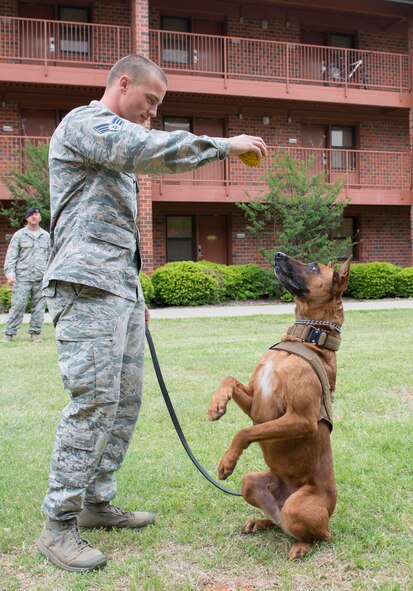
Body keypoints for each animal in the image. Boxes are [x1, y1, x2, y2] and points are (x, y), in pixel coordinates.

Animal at [208, 252, 350, 560]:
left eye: (313, 267)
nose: (278, 254)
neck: (306, 338)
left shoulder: (300, 419)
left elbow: (246, 432)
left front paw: (227, 462)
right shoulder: (256, 401)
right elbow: (229, 378)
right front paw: (217, 404)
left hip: (299, 507)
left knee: (320, 534)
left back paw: (302, 546)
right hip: (250, 482)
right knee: (279, 520)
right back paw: (261, 522)